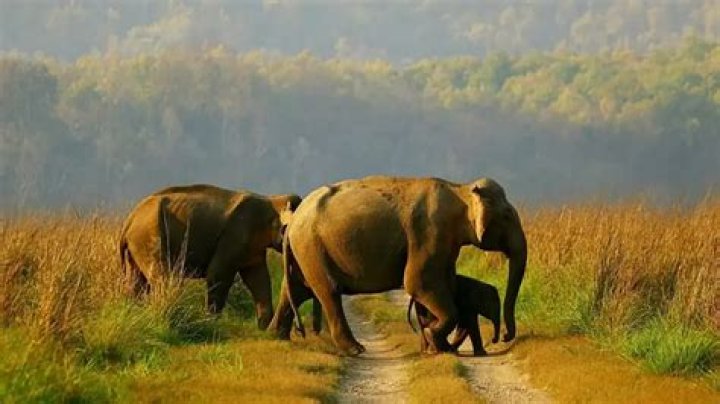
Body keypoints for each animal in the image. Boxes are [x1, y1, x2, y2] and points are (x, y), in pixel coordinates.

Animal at [118, 184, 301, 329]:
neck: (273, 201)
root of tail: (129, 220)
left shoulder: (253, 248)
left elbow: (259, 278)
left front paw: (264, 327)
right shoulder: (234, 235)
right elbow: (217, 274)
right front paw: (212, 322)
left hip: (136, 246)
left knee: (136, 283)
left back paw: (134, 314)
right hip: (149, 236)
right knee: (162, 276)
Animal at [269, 175, 526, 355]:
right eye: (507, 216)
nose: (504, 337)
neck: (460, 189)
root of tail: (293, 221)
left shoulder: (444, 243)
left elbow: (438, 285)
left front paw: (436, 346)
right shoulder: (428, 234)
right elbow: (418, 283)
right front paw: (435, 339)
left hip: (305, 252)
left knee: (296, 290)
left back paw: (276, 337)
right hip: (312, 248)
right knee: (328, 291)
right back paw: (355, 349)